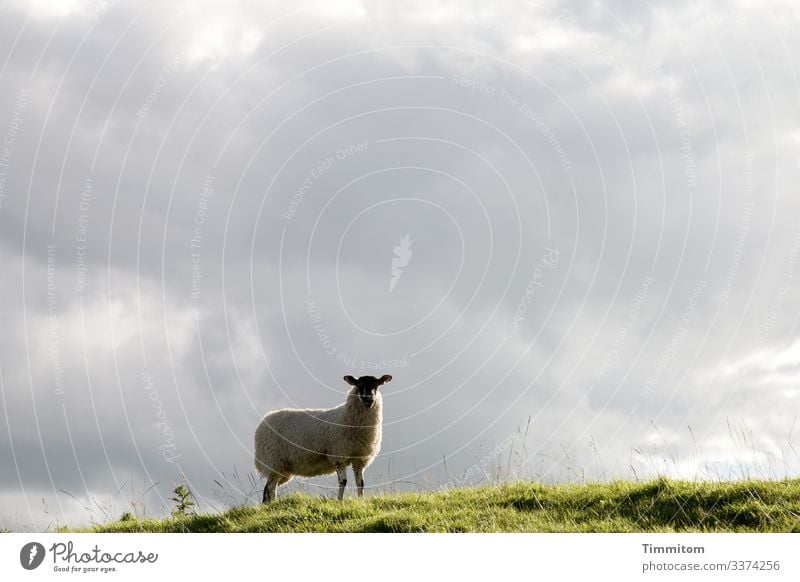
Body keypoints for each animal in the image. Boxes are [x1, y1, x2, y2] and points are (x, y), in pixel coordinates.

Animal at [255, 376, 392, 504]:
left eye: (376, 385)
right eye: (359, 385)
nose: (368, 399)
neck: (346, 416)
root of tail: (263, 421)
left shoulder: (360, 459)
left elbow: (360, 483)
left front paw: (361, 500)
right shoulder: (338, 456)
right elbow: (343, 481)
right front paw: (339, 500)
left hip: (283, 469)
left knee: (270, 488)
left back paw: (270, 505)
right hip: (273, 461)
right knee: (270, 488)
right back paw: (270, 505)